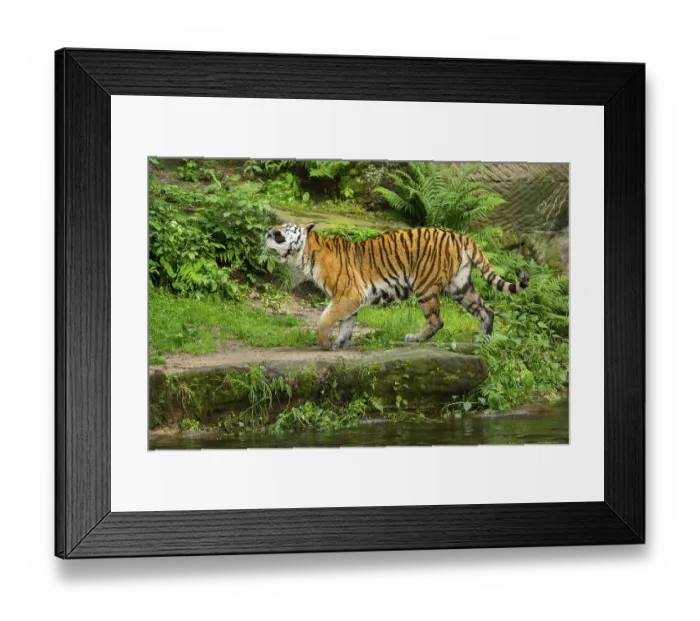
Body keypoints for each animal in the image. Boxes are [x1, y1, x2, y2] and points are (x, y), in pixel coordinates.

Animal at [264, 223, 530, 351]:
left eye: (281, 230)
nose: (267, 230)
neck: (306, 255)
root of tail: (461, 236)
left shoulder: (348, 295)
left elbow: (325, 319)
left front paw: (324, 343)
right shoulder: (349, 298)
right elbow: (346, 323)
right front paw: (339, 343)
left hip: (425, 286)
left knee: (437, 320)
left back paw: (414, 338)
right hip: (460, 286)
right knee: (487, 310)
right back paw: (483, 338)